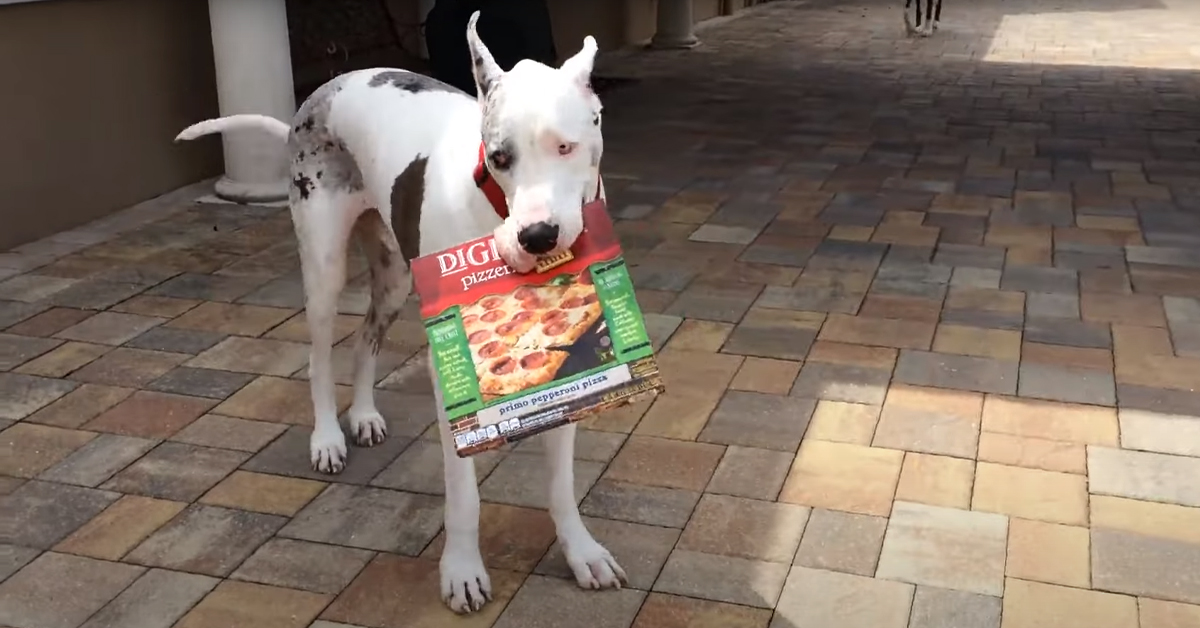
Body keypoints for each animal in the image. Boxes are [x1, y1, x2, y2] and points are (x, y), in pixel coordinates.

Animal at [180, 11, 628, 614]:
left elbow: (561, 484)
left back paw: (365, 415)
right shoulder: (450, 376)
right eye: (500, 157)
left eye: (567, 147)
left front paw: (581, 552)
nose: (537, 236)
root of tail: (317, 96)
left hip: (393, 275)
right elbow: (462, 493)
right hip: (323, 265)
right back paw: (328, 438)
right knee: (319, 356)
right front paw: (461, 570)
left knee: (364, 340)